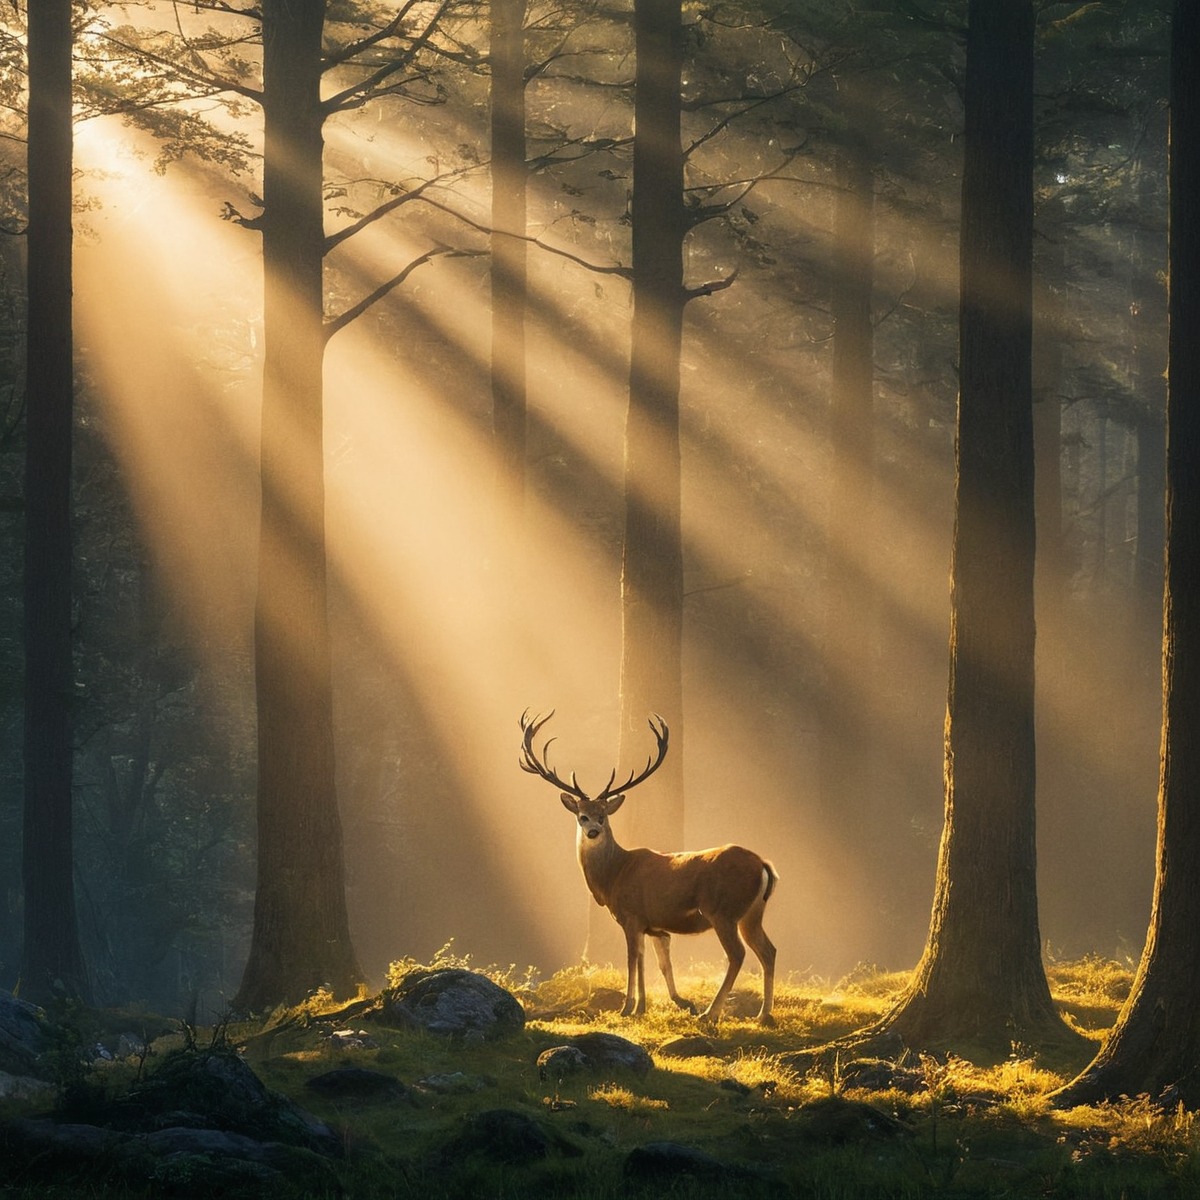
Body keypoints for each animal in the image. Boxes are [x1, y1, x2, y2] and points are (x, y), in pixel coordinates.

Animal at [518, 705, 777, 1027]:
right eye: (582, 815)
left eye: (602, 815)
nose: (593, 832)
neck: (613, 876)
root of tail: (764, 864)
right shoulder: (653, 925)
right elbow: (655, 963)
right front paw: (645, 1006)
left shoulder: (630, 915)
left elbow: (632, 960)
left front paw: (627, 1007)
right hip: (752, 913)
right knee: (768, 951)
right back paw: (763, 1015)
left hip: (723, 910)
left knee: (738, 954)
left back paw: (711, 1013)